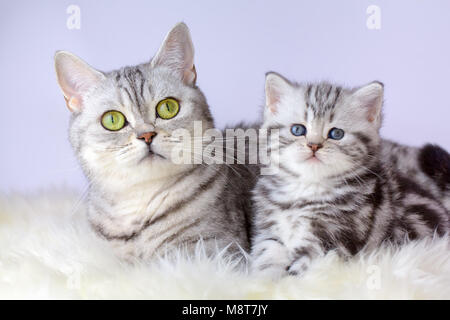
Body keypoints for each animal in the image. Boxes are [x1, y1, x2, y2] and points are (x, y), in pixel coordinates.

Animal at [251, 72, 448, 278]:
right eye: (298, 130)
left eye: (336, 133)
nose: (314, 145)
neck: (306, 190)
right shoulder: (270, 230)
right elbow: (267, 256)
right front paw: (265, 280)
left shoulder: (333, 239)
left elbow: (301, 271)